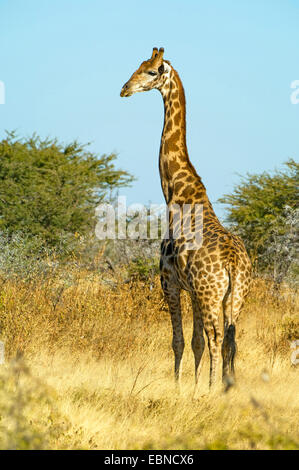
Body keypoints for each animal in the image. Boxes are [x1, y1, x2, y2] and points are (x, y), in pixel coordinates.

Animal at [120, 49, 252, 392]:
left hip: (211, 294)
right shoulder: (192, 290)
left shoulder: (169, 281)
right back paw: (225, 387)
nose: (124, 88)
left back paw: (212, 389)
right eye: (139, 66)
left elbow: (178, 341)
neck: (177, 193)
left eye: (152, 71)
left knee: (217, 338)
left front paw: (181, 388)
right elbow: (195, 342)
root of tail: (233, 264)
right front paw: (191, 386)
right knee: (231, 339)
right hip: (235, 296)